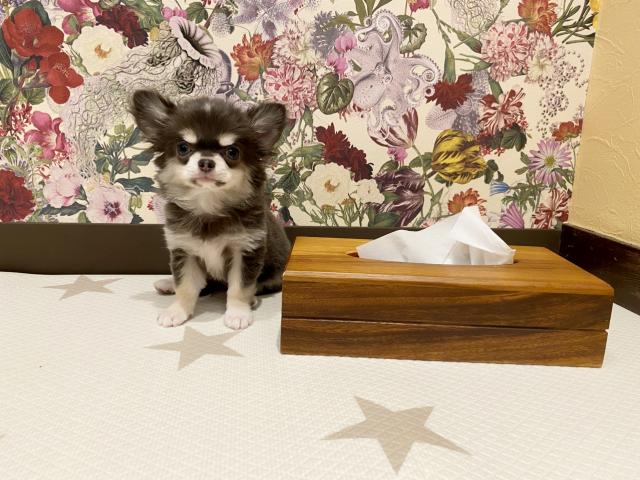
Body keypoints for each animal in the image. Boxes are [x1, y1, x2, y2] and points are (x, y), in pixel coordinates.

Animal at [130, 90, 291, 329]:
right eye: (183, 148)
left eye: (232, 152)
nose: (206, 161)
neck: (209, 207)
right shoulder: (184, 250)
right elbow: (185, 286)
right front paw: (177, 311)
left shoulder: (245, 251)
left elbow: (239, 288)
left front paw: (237, 313)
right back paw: (168, 284)